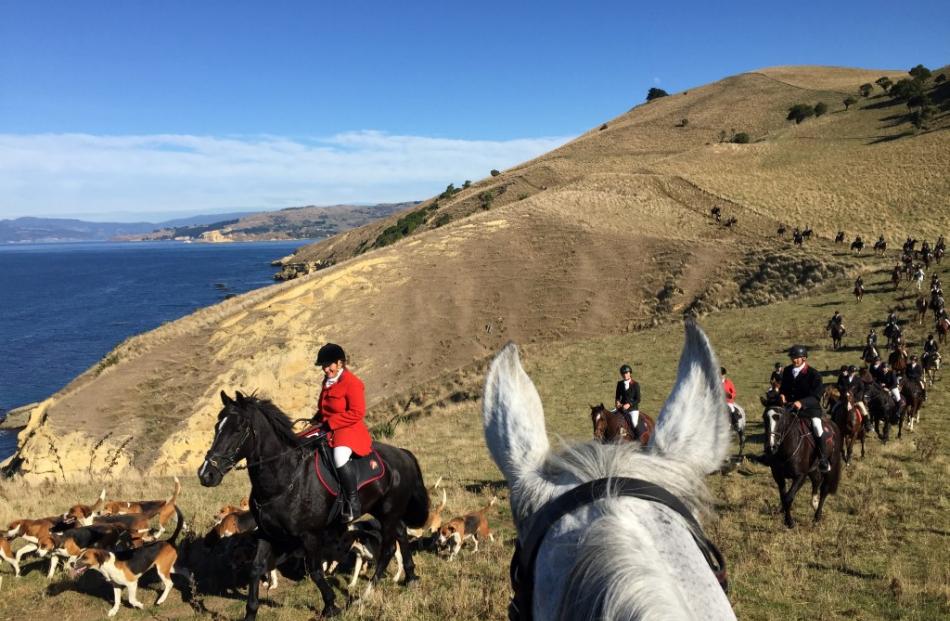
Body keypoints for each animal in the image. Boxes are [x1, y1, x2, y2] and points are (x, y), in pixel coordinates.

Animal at [201, 390, 432, 616]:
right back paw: (411, 577)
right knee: (401, 535)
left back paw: (364, 596)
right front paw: (251, 612)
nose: (206, 474)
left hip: (389, 512)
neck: (284, 479)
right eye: (216, 426)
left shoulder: (309, 535)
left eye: (238, 429)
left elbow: (315, 572)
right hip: (385, 510)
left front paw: (330, 606)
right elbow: (256, 568)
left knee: (388, 549)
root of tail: (402, 453)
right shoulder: (267, 534)